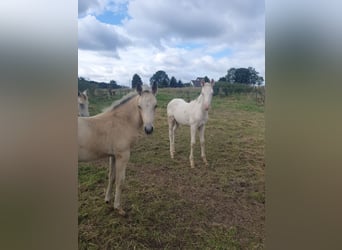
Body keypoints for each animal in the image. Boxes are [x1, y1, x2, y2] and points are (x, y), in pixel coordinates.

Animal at [79, 82, 158, 215]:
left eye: (155, 106)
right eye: (139, 106)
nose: (148, 129)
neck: (121, 122)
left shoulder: (113, 155)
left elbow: (111, 177)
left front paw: (107, 200)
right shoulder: (123, 155)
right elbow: (120, 181)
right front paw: (118, 208)